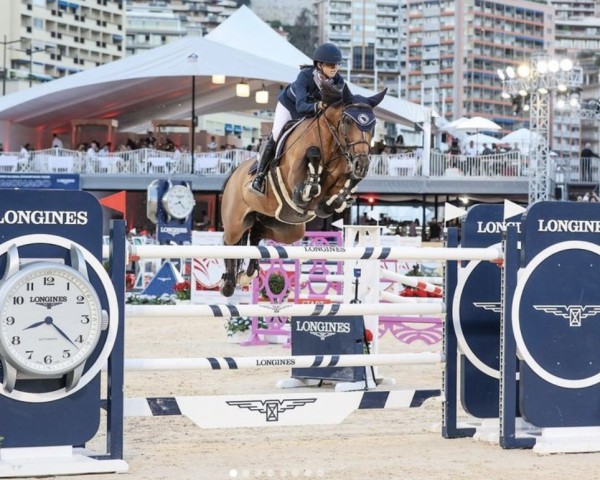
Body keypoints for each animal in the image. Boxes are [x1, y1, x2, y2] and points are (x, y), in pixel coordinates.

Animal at [218, 84, 386, 298]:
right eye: (348, 121)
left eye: (372, 125)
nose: (361, 165)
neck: (330, 143)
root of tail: (233, 174)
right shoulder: (293, 180)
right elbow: (309, 179)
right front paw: (309, 186)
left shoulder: (335, 181)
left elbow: (339, 190)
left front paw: (335, 201)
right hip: (236, 221)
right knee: (229, 242)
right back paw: (228, 283)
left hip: (287, 228)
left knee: (256, 233)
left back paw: (248, 274)